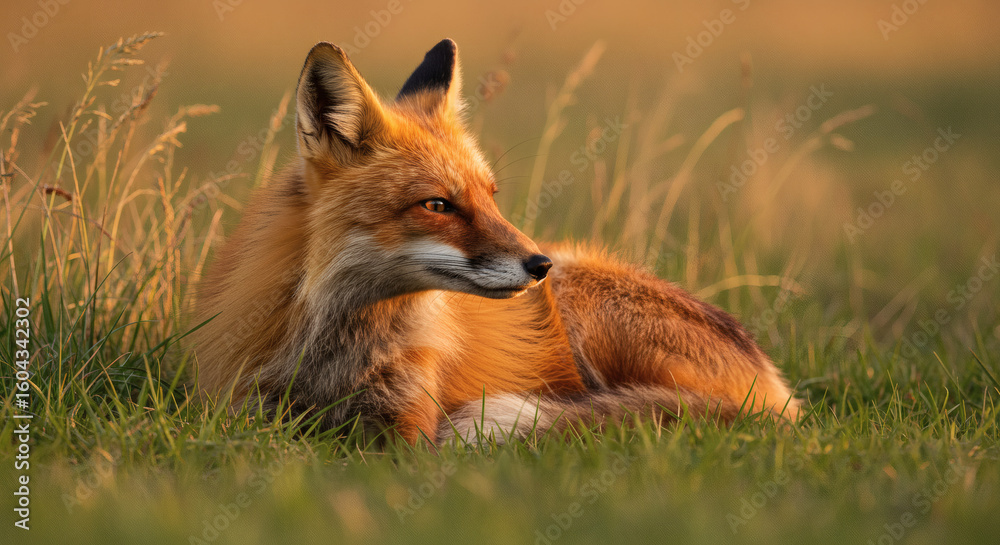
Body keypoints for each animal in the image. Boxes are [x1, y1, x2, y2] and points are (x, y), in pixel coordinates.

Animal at [192, 38, 801, 446]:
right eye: (438, 205)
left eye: (492, 196)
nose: (538, 265)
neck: (335, 351)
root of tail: (782, 395)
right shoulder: (236, 409)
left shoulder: (410, 427)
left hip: (580, 300)